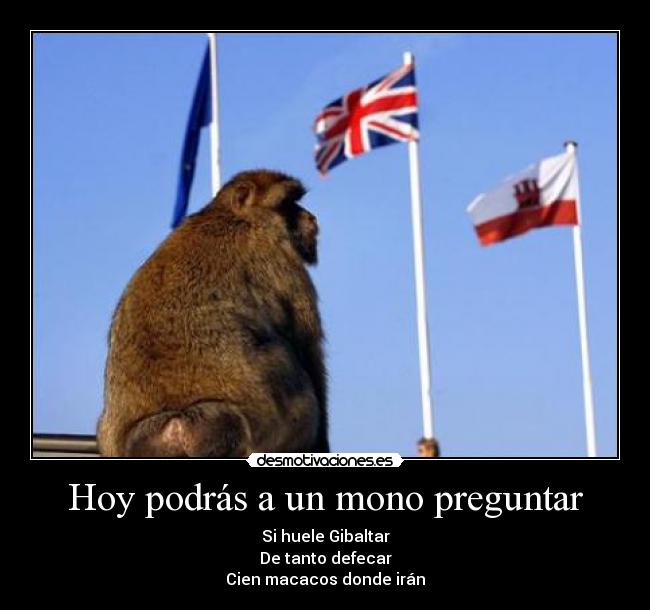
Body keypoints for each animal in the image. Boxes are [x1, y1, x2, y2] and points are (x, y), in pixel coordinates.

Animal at [97, 170, 328, 457]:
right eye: (286, 204)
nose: (310, 217)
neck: (230, 216)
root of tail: (177, 424)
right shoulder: (280, 257)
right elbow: (308, 348)